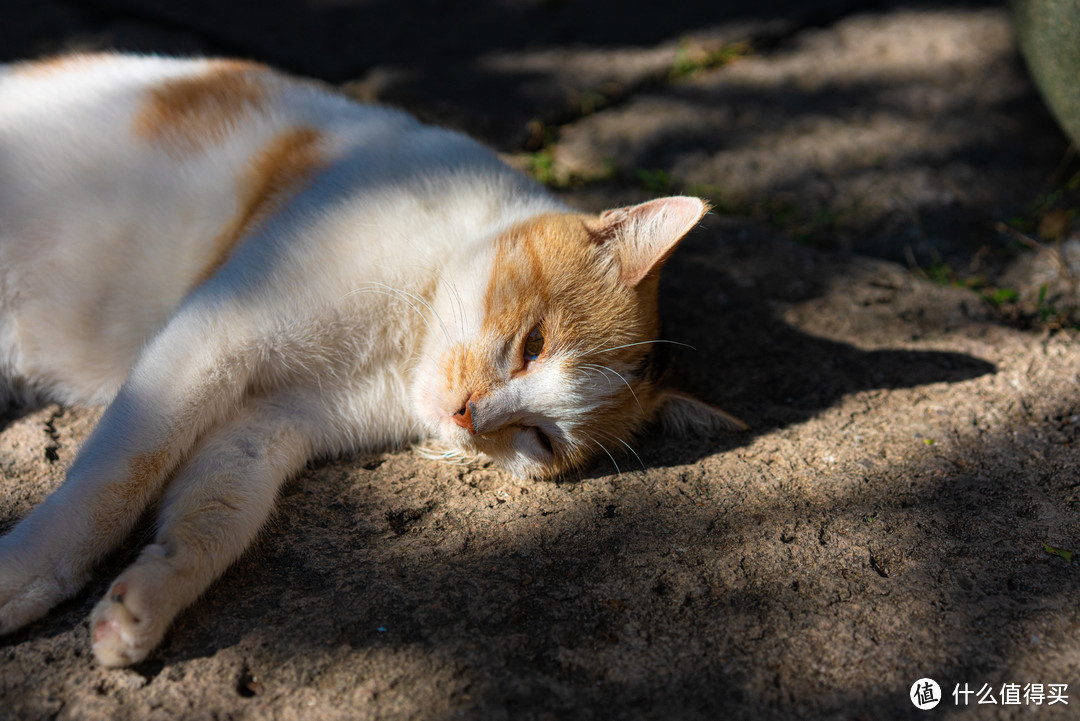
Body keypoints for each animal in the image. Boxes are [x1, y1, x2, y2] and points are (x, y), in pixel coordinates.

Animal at [0, 53, 747, 669]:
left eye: (540, 438)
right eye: (533, 343)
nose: (468, 415)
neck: (398, 348)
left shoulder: (266, 423)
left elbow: (217, 515)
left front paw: (144, 601)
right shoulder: (216, 333)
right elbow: (119, 476)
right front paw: (28, 572)